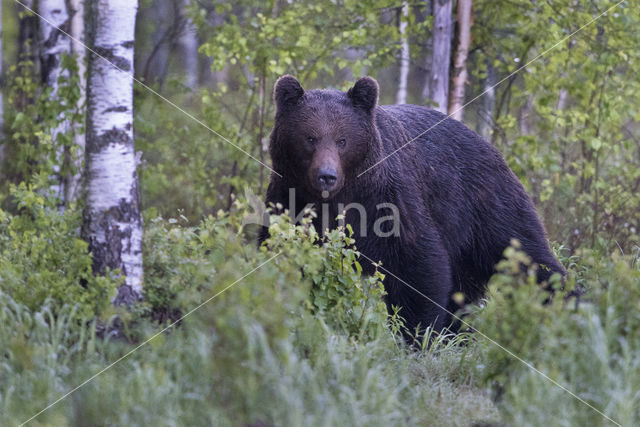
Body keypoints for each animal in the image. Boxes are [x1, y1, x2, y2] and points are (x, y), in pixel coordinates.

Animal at [258, 75, 564, 340]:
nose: (327, 175)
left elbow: (417, 262)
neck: (340, 197)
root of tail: (488, 144)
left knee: (527, 253)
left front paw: (416, 333)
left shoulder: (389, 200)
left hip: (485, 202)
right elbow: (280, 247)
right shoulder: (290, 198)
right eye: (310, 138)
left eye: (342, 140)